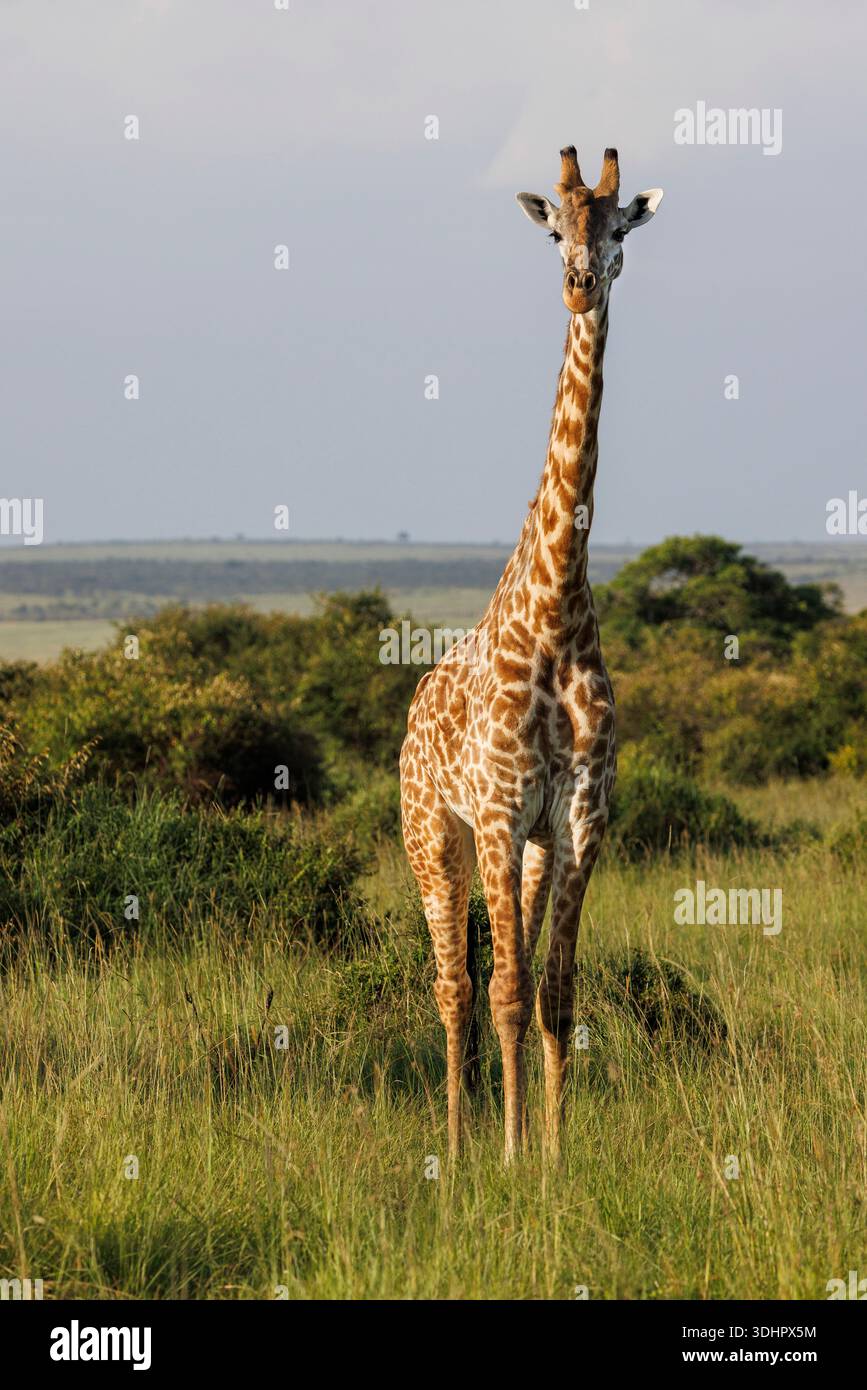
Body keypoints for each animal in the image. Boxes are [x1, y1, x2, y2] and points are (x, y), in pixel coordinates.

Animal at [399, 146, 663, 1161]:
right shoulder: (499, 813)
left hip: (528, 846)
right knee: (453, 987)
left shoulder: (580, 820)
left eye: (619, 226)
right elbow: (506, 992)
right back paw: (459, 1145)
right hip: (432, 837)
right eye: (553, 229)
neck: (554, 614)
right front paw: (510, 1158)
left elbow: (556, 996)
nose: (579, 284)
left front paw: (551, 1157)